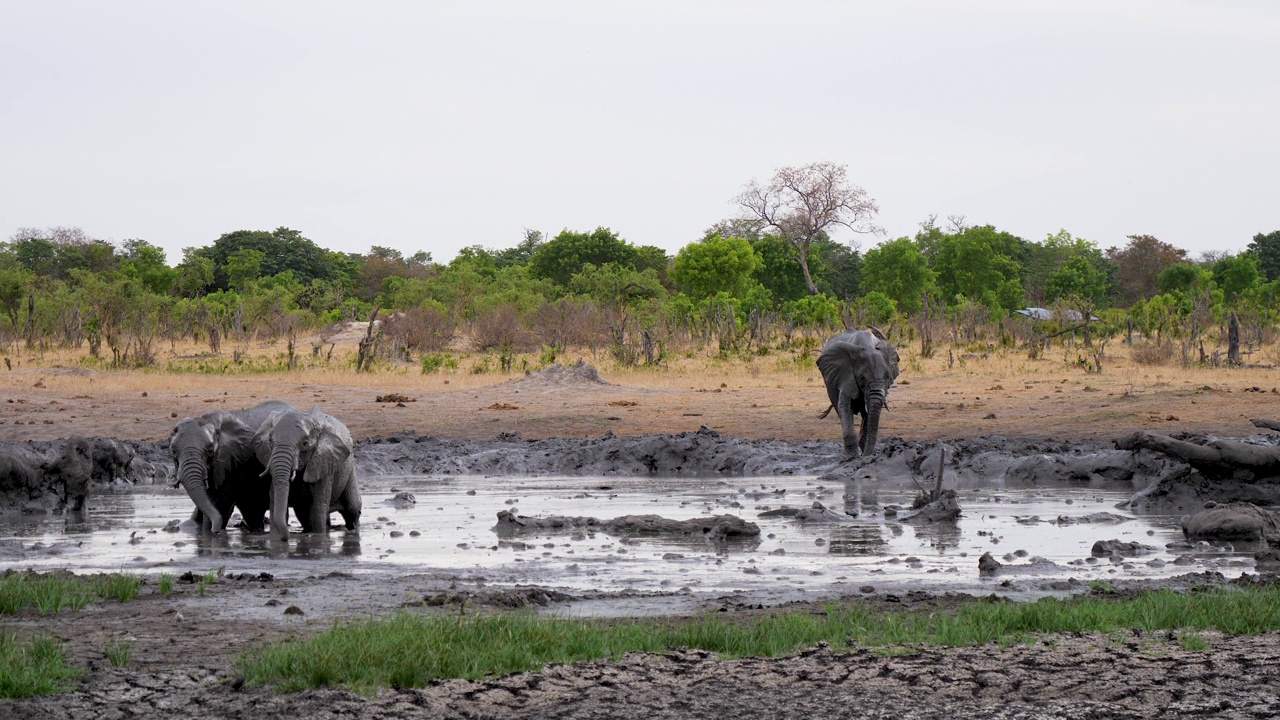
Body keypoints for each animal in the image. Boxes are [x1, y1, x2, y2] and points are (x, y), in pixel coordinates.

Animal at [252, 404, 360, 538]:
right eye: (270, 441)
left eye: (305, 444)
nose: (286, 538)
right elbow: (274, 502)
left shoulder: (324, 461)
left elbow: (318, 508)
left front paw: (319, 538)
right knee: (304, 515)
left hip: (350, 470)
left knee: (353, 510)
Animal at [819, 326, 901, 456]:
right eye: (862, 378)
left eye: (888, 377)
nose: (867, 455)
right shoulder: (846, 375)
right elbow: (844, 406)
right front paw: (852, 456)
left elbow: (869, 412)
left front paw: (862, 452)